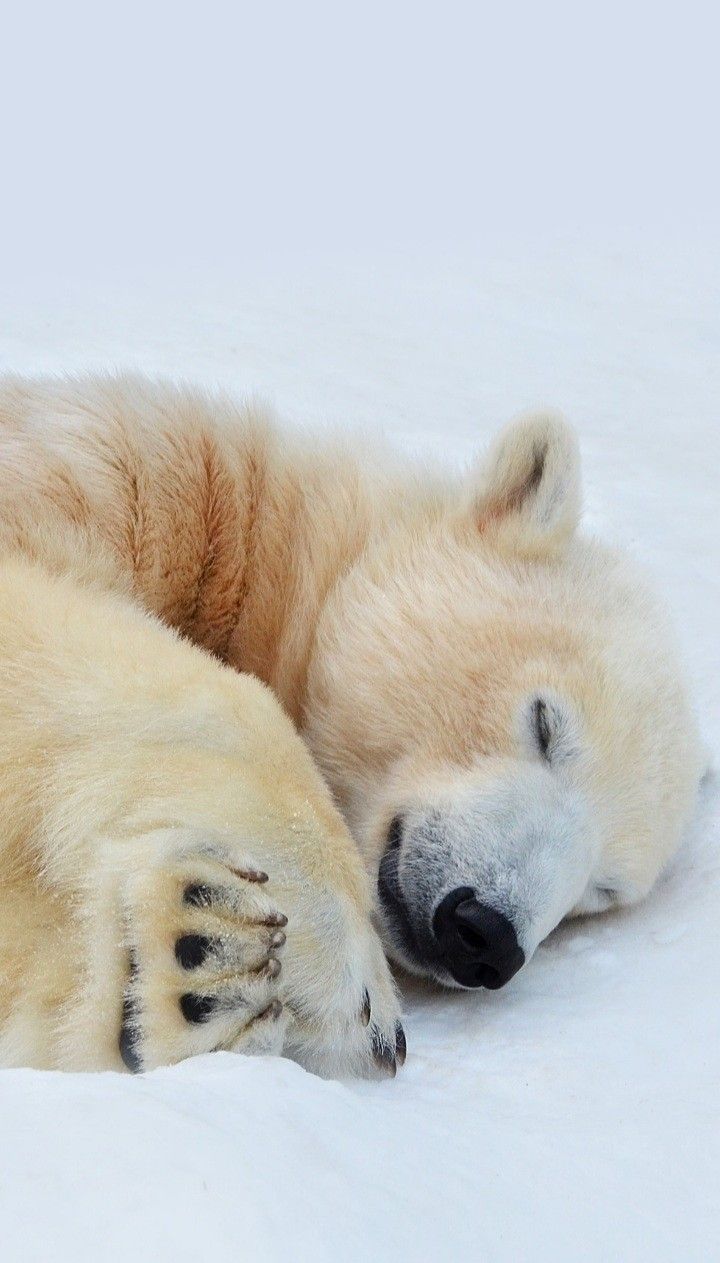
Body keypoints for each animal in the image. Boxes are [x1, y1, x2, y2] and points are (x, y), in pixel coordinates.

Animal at [0, 371, 702, 1076]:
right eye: (544, 724)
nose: (487, 934)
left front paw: (193, 966)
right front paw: (348, 984)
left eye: (603, 889)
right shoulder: (123, 474)